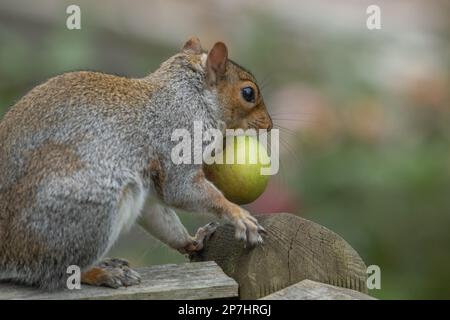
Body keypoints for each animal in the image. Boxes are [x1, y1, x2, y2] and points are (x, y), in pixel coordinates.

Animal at [0, 37, 272, 290]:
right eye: (248, 93)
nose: (269, 125)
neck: (191, 96)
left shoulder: (151, 190)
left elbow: (160, 216)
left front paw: (194, 240)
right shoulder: (179, 139)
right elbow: (181, 190)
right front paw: (238, 216)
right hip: (86, 209)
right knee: (54, 273)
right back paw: (101, 272)